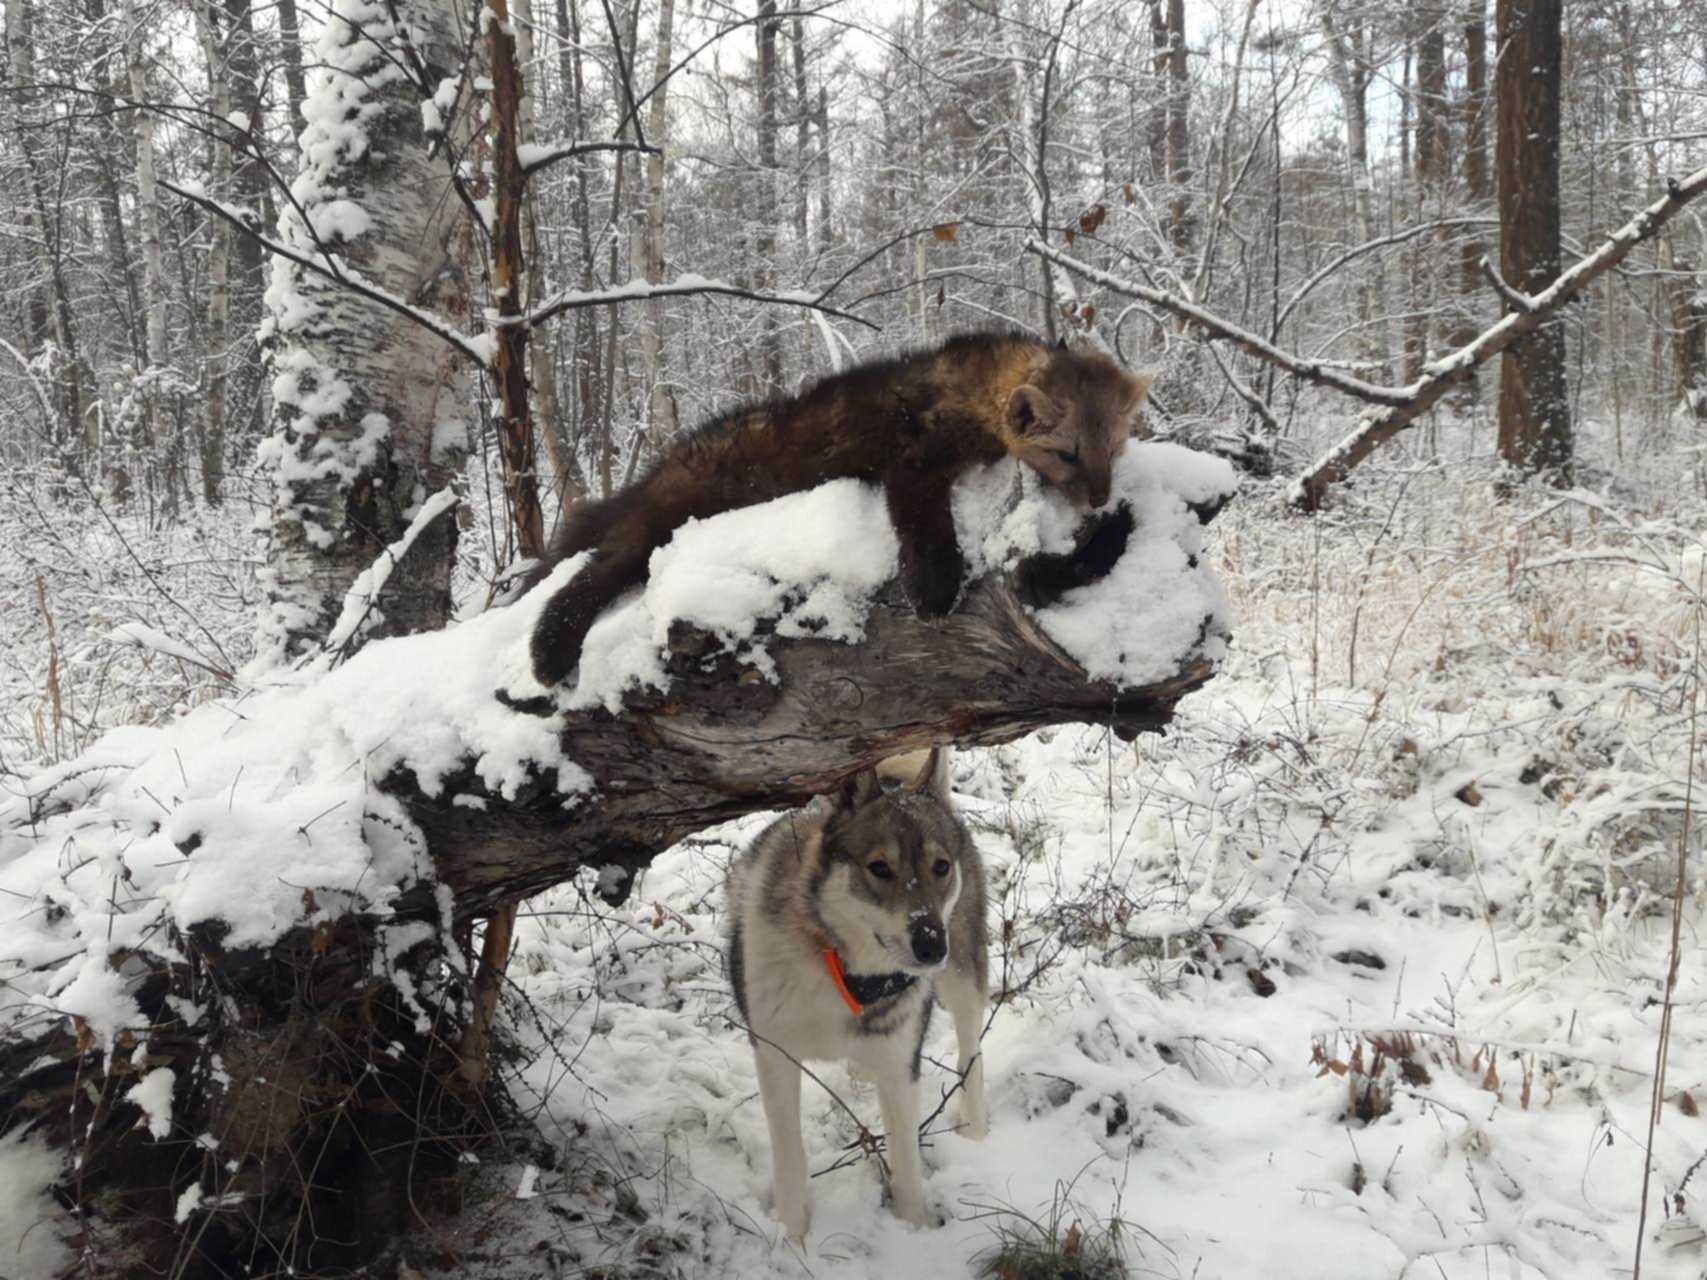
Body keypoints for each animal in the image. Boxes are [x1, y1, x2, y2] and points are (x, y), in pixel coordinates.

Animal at [723, 750, 990, 1242]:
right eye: (879, 868)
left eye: (941, 867)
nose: (931, 945)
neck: (847, 973)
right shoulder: (774, 1056)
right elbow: (790, 1157)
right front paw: (791, 1239)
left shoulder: (902, 1065)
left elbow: (907, 1163)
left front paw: (914, 1232)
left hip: (965, 976)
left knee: (971, 1052)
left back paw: (976, 1130)